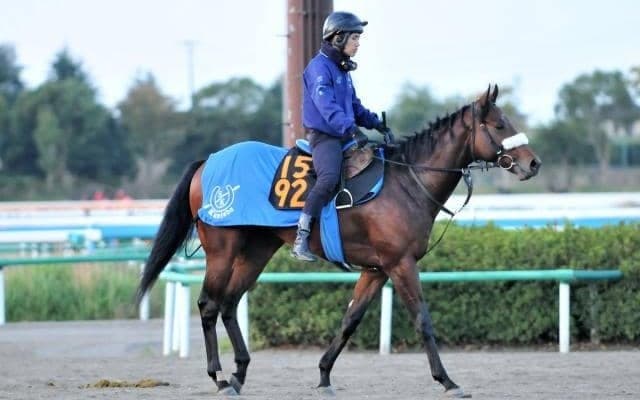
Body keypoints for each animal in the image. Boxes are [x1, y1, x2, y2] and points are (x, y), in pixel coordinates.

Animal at [136, 85, 541, 398]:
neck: (407, 181)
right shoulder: (400, 264)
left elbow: (350, 319)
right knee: (208, 304)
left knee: (230, 303)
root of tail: (207, 162)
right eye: (500, 124)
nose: (533, 163)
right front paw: (447, 380)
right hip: (222, 250)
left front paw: (324, 375)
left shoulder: (377, 269)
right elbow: (422, 319)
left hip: (256, 252)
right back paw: (219, 377)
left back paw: (239, 373)